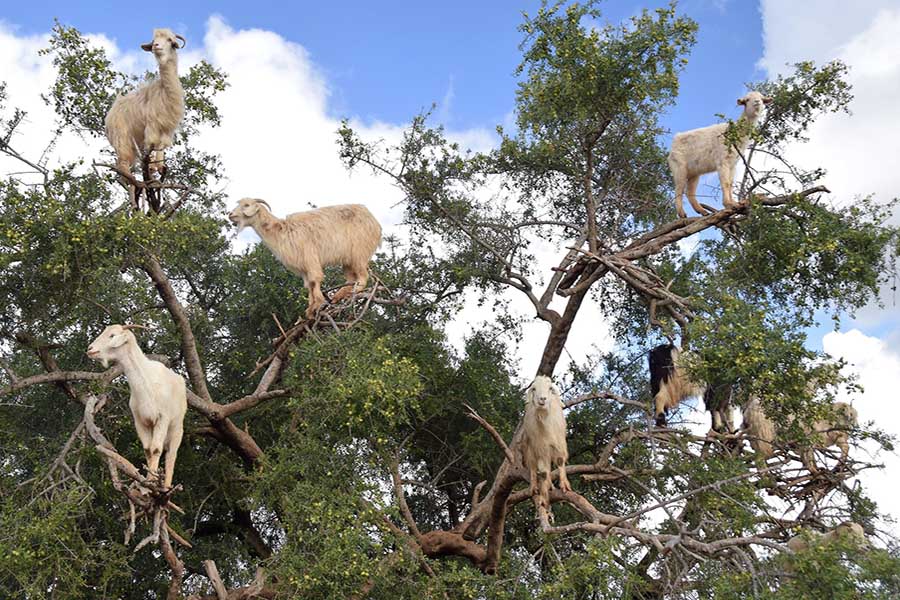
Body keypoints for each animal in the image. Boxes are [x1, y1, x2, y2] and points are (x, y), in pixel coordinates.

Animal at [87, 324, 187, 488]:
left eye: (112, 335)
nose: (90, 349)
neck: (147, 381)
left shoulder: (162, 418)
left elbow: (156, 449)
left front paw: (152, 479)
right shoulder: (140, 421)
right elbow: (147, 449)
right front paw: (147, 480)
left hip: (177, 427)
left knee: (171, 454)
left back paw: (166, 486)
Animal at [105, 28, 185, 213]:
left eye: (170, 40)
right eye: (154, 39)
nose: (156, 46)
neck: (164, 91)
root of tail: (110, 114)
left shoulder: (167, 129)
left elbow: (161, 147)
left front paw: (158, 167)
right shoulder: (152, 126)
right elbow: (154, 144)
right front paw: (153, 167)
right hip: (122, 139)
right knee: (123, 167)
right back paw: (135, 196)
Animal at [228, 198, 382, 320]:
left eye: (246, 205)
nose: (230, 214)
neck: (282, 230)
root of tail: (375, 223)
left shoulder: (310, 258)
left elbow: (315, 280)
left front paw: (317, 304)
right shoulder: (303, 268)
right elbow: (309, 285)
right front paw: (310, 310)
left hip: (358, 253)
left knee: (363, 276)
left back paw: (351, 293)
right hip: (348, 260)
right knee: (351, 278)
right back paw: (338, 296)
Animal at [520, 375, 571, 512]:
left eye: (550, 388)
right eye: (534, 389)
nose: (542, 399)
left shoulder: (559, 443)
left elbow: (560, 461)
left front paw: (564, 486)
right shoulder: (540, 447)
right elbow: (542, 472)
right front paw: (543, 498)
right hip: (530, 448)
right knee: (534, 467)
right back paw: (536, 487)